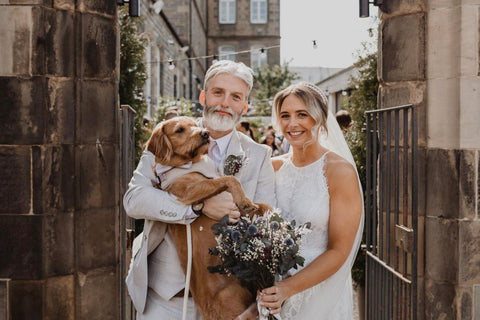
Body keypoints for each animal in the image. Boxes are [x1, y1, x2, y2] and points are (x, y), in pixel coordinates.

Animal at [146, 115, 272, 320]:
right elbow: (229, 179)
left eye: (194, 125)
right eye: (179, 130)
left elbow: (262, 205)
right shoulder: (190, 190)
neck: (189, 163)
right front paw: (244, 200)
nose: (205, 133)